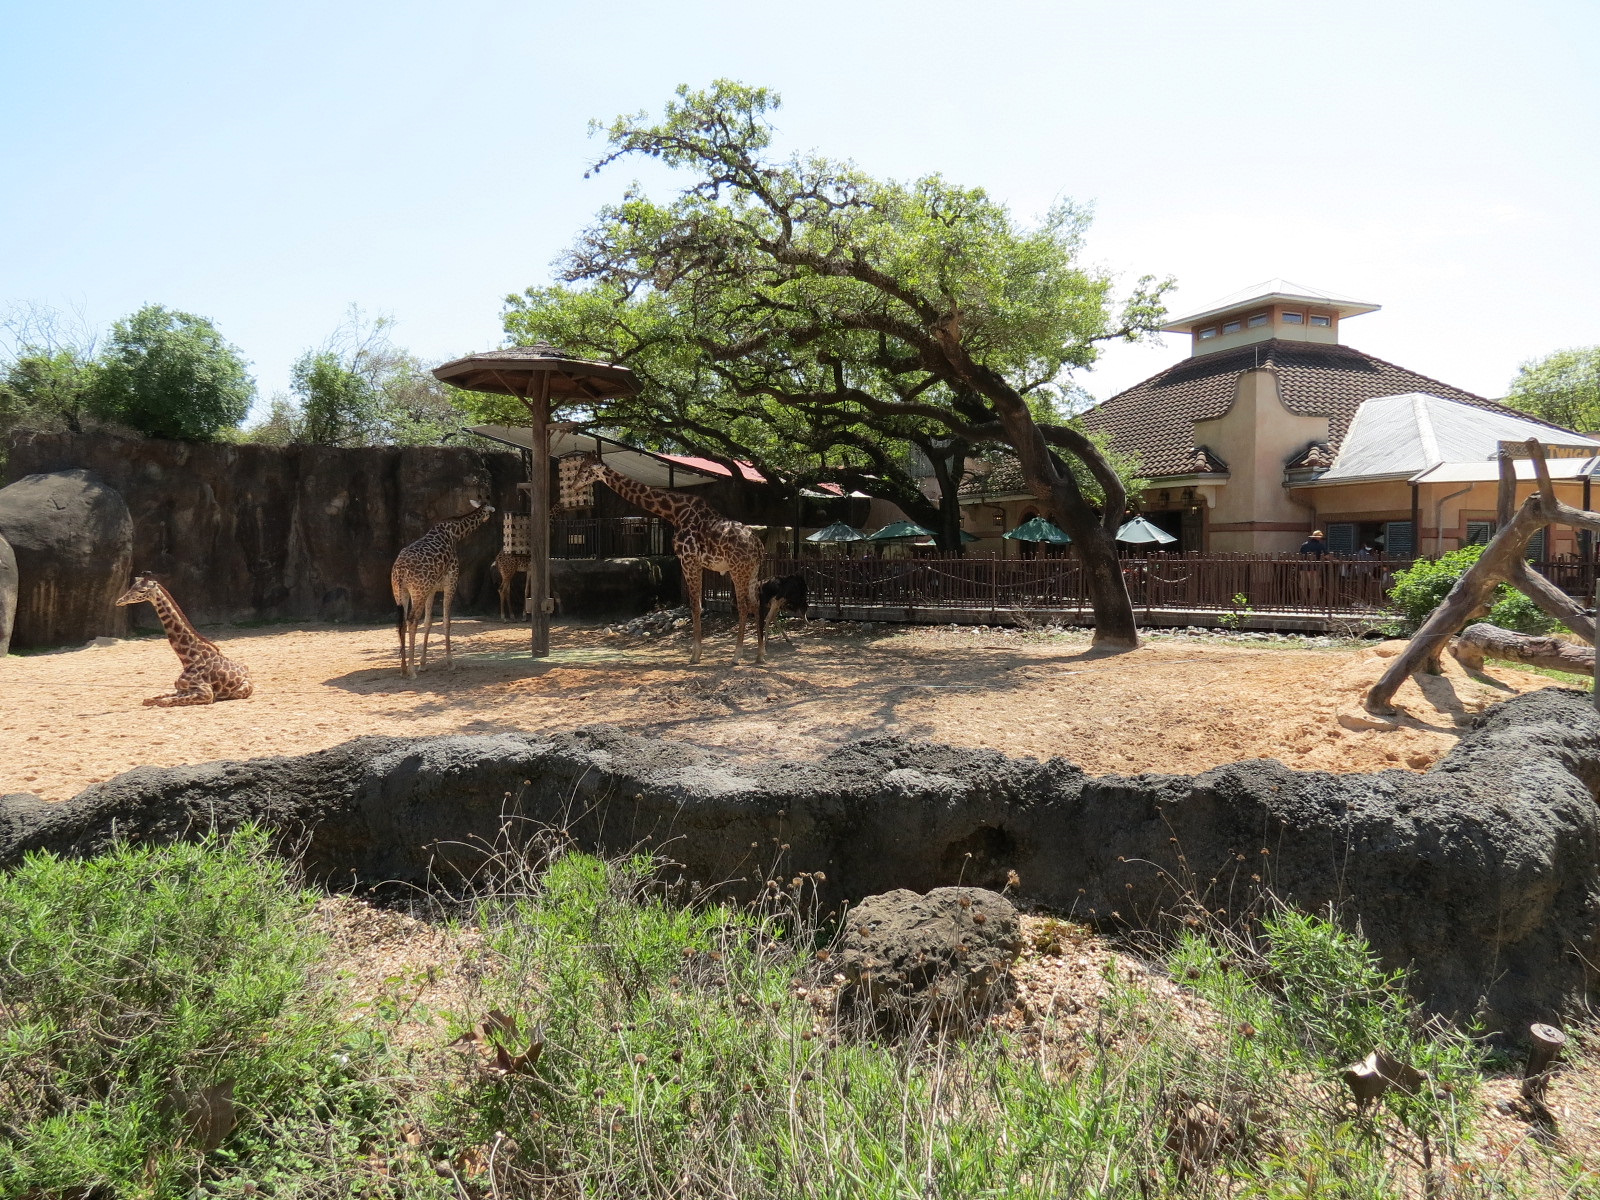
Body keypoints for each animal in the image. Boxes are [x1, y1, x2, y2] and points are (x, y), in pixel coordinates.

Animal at [113, 575, 254, 706]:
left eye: (142, 591)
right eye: (131, 587)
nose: (119, 601)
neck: (188, 659)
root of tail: (248, 671)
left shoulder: (206, 694)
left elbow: (164, 701)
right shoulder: (180, 689)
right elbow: (148, 700)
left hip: (239, 691)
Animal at [391, 499, 496, 678]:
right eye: (489, 511)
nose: (489, 518)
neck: (455, 533)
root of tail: (400, 571)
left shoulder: (432, 589)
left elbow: (428, 622)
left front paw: (423, 664)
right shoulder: (451, 582)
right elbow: (447, 621)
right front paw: (450, 662)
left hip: (400, 592)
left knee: (402, 622)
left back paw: (404, 669)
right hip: (418, 591)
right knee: (411, 620)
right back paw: (411, 670)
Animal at [566, 453, 767, 664]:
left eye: (584, 470)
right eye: (579, 467)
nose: (573, 485)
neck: (674, 512)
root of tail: (758, 545)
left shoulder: (688, 559)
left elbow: (695, 606)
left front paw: (695, 655)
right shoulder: (695, 562)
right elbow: (697, 605)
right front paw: (697, 652)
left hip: (738, 570)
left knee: (743, 606)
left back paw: (737, 655)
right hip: (752, 570)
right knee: (756, 603)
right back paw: (760, 654)